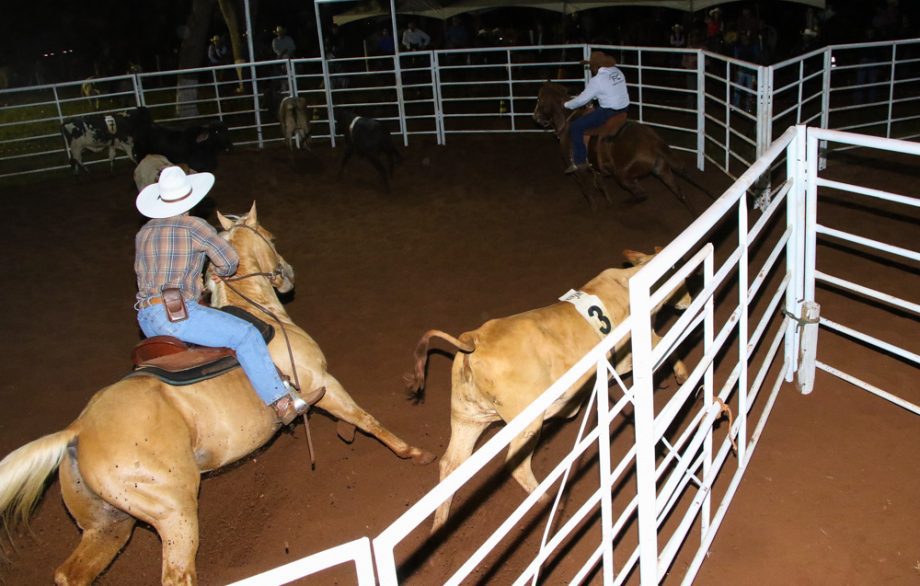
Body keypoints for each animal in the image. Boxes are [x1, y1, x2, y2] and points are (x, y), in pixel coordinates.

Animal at [0, 202, 434, 584]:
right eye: (271, 236)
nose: (288, 273)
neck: (260, 312)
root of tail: (78, 431)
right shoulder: (320, 384)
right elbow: (365, 418)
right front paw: (413, 452)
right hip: (174, 513)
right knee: (177, 574)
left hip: (109, 523)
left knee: (72, 573)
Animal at [404, 246, 688, 528]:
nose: (686, 301)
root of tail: (473, 340)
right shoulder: (634, 350)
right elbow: (668, 345)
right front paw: (682, 375)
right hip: (526, 423)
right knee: (515, 464)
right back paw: (551, 502)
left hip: (468, 418)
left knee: (450, 465)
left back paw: (439, 525)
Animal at [532, 81, 696, 211]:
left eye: (539, 99)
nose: (536, 117)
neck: (568, 122)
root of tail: (653, 141)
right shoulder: (595, 168)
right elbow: (601, 186)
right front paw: (608, 203)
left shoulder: (578, 170)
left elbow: (586, 190)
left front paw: (595, 207)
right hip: (662, 170)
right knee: (681, 194)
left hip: (623, 175)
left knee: (641, 194)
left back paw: (622, 206)